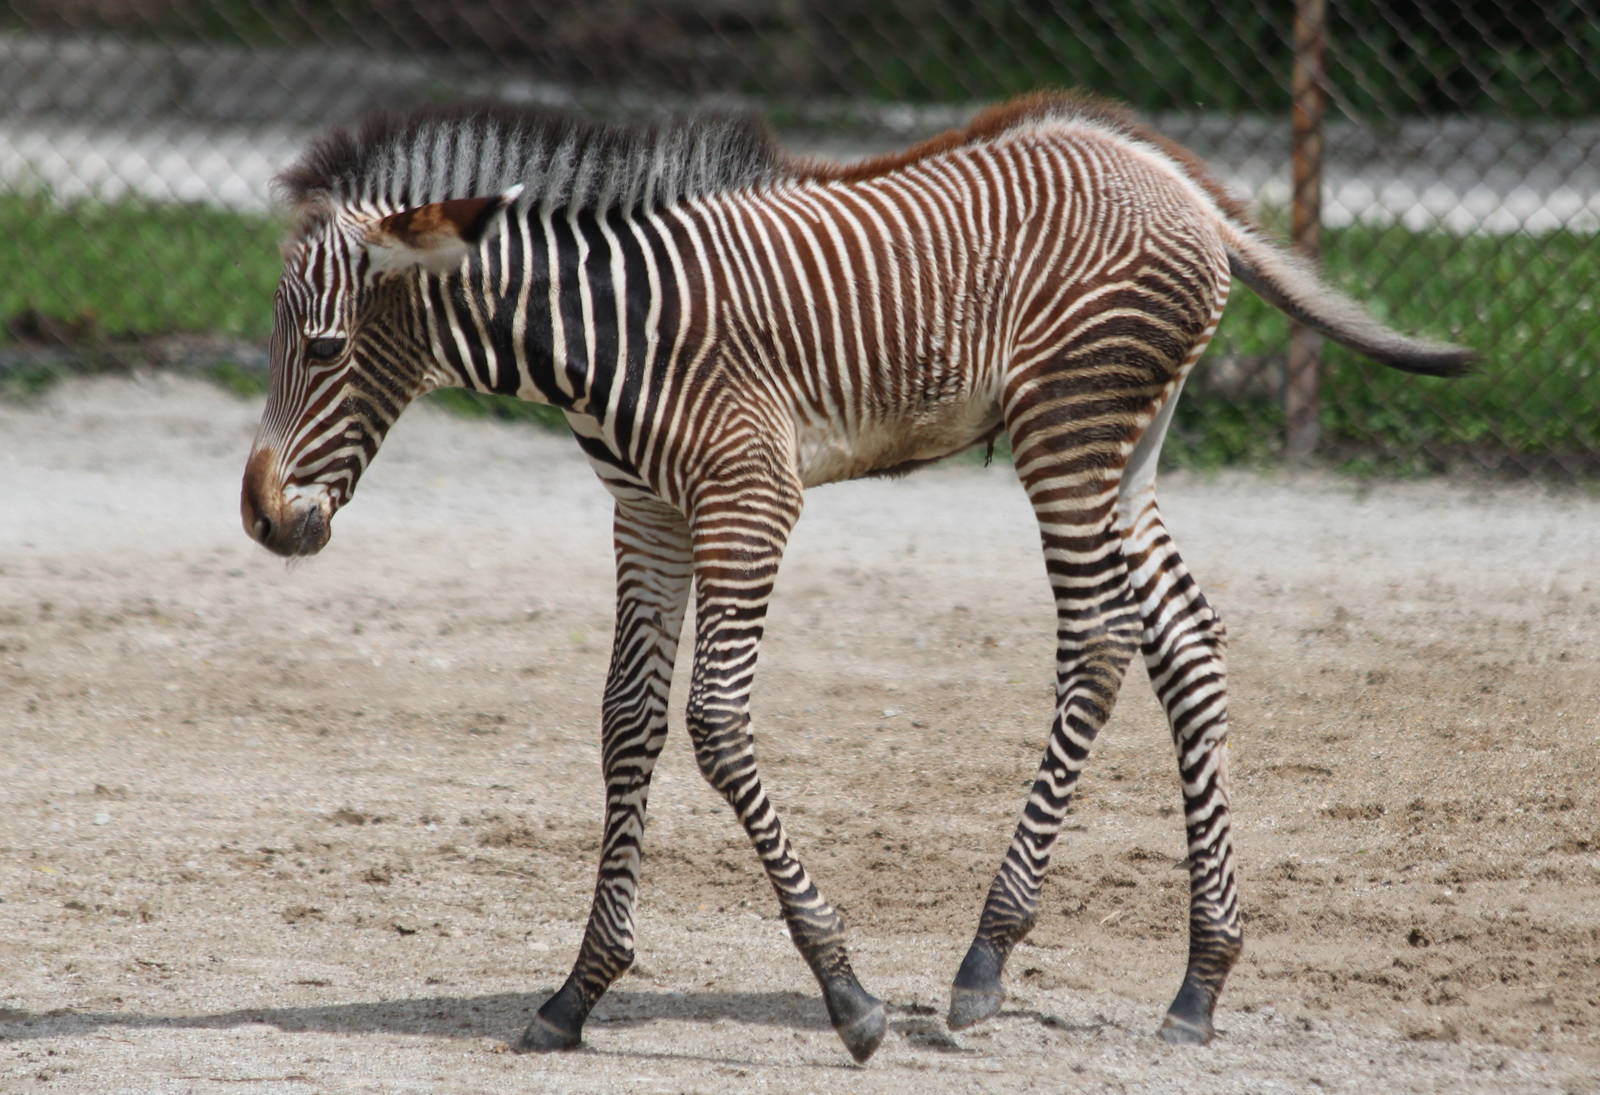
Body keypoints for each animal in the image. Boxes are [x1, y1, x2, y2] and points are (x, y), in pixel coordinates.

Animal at [240, 93, 1471, 1063]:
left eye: (325, 350)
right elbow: (627, 721)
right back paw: (1200, 983)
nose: (261, 517)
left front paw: (848, 994)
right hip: (1133, 444)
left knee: (1098, 642)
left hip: (1068, 429)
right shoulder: (648, 515)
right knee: (1186, 641)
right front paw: (577, 993)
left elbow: (715, 721)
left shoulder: (750, 498)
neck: (608, 332)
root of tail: (1177, 181)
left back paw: (984, 962)